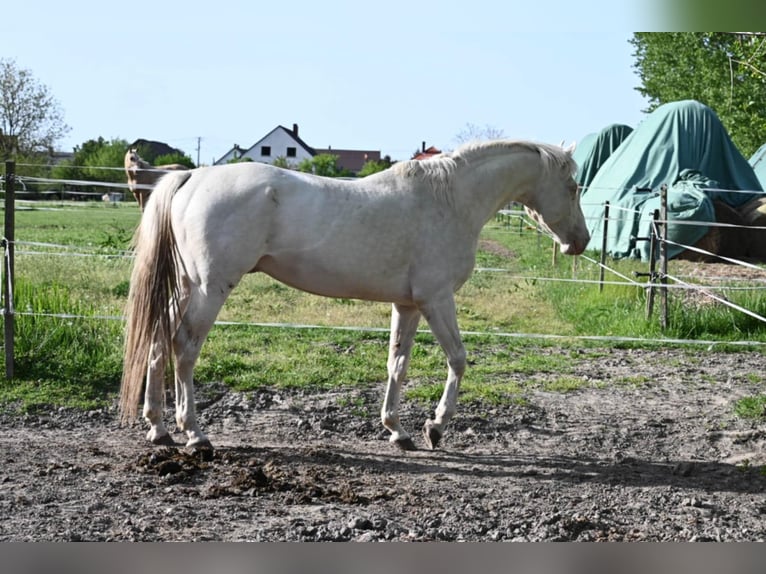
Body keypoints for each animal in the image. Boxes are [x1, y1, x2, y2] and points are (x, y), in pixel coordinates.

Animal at [120, 139, 589, 452]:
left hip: (185, 286)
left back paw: (159, 428)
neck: (450, 199)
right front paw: (435, 427)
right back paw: (195, 434)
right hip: (209, 288)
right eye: (573, 187)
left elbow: (397, 364)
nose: (580, 242)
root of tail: (190, 176)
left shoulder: (409, 305)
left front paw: (397, 430)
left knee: (158, 341)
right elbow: (458, 359)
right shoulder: (436, 300)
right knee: (184, 349)